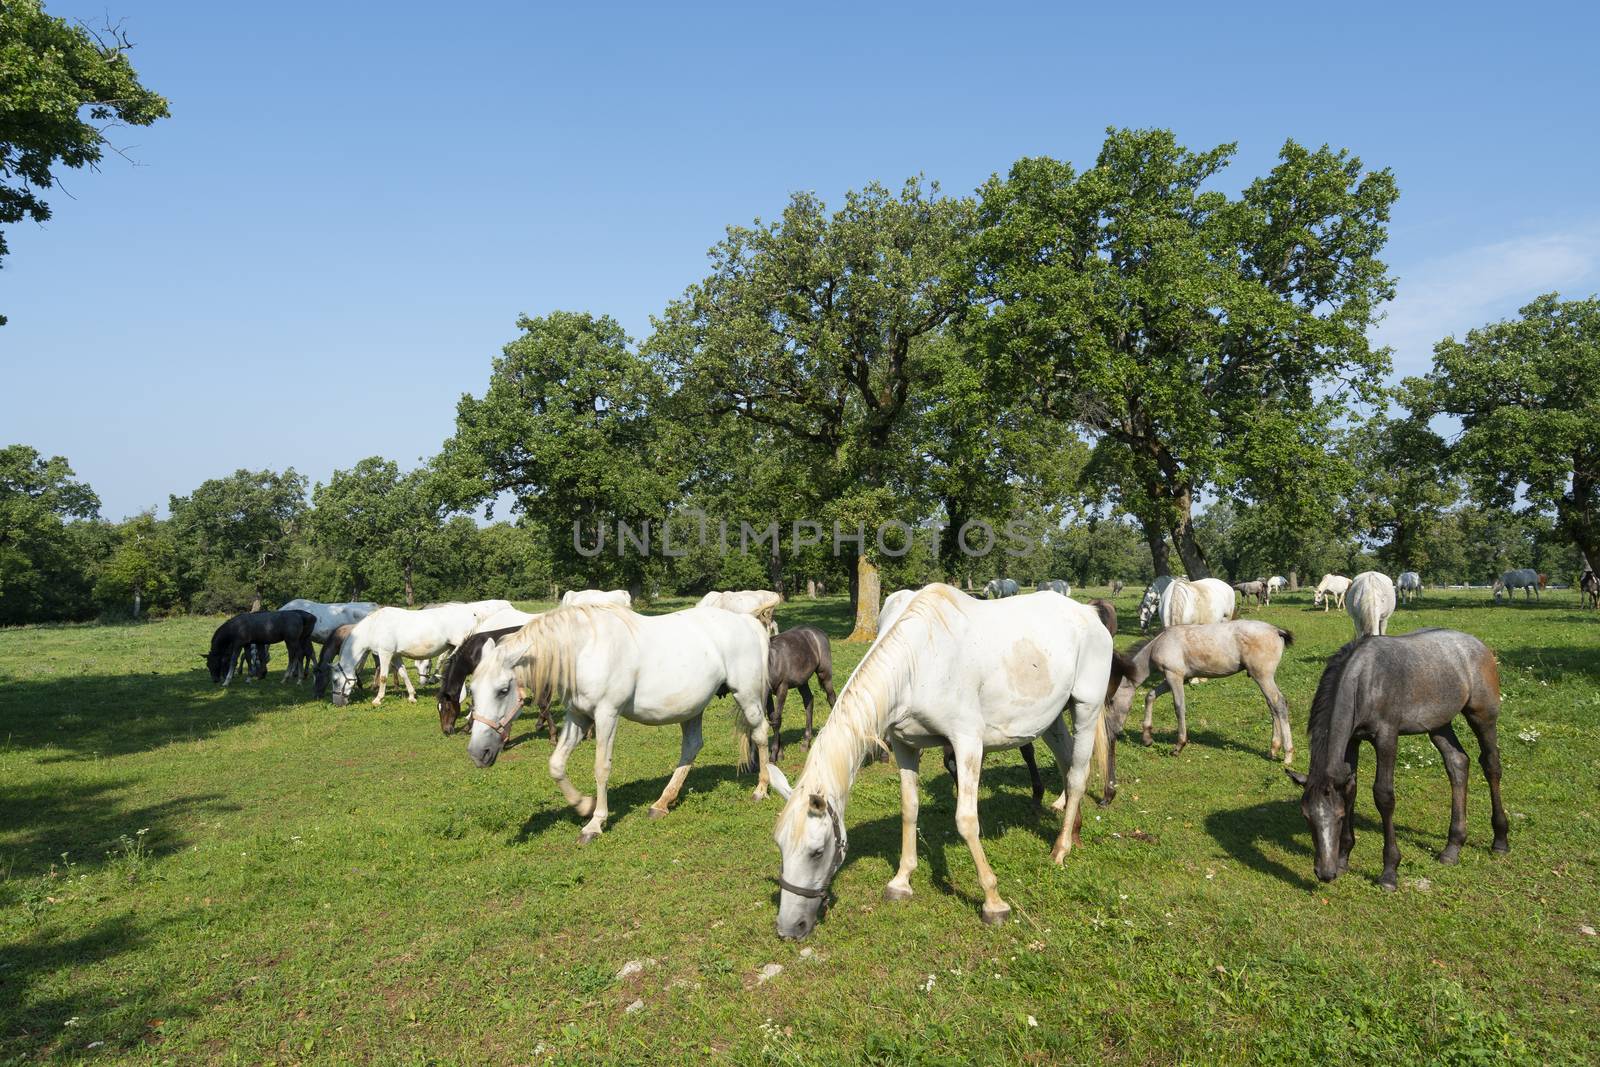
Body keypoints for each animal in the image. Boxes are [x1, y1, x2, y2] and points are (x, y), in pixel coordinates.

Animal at [464, 607, 774, 844]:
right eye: (473, 690)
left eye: (503, 690)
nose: (478, 753)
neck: (583, 651)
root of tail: (747, 621)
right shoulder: (578, 716)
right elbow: (556, 765)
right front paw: (583, 804)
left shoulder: (606, 714)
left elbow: (602, 768)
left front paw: (594, 823)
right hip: (692, 708)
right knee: (692, 746)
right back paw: (662, 803)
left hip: (746, 696)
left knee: (760, 734)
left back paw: (761, 789)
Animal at [758, 627, 838, 767]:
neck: (772, 663)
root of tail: (818, 632)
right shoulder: (768, 695)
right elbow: (773, 718)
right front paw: (779, 753)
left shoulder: (782, 688)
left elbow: (777, 720)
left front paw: (773, 756)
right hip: (802, 682)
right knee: (809, 701)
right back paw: (806, 743)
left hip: (825, 675)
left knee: (831, 698)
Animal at [1286, 630, 1510, 889]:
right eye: (1306, 816)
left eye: (1340, 816)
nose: (1324, 873)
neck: (1364, 681)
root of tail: (1479, 646)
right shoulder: (1352, 741)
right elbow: (1351, 790)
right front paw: (1343, 859)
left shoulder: (1386, 738)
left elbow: (1384, 796)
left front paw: (1389, 871)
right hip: (1439, 725)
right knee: (1458, 763)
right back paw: (1452, 847)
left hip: (1482, 717)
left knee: (1491, 765)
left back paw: (1500, 839)